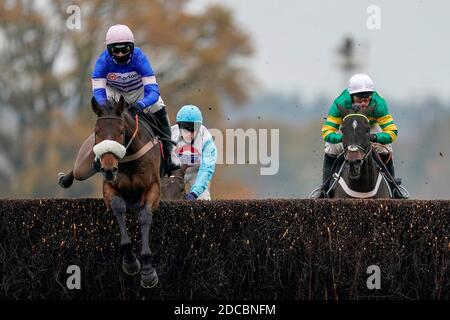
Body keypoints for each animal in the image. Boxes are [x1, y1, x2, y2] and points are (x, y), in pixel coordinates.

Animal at [61, 97, 162, 288]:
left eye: (121, 131)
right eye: (96, 131)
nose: (108, 167)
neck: (129, 159)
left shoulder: (154, 186)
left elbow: (145, 216)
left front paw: (148, 271)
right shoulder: (109, 186)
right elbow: (118, 208)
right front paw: (130, 261)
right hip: (82, 167)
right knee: (77, 172)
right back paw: (65, 178)